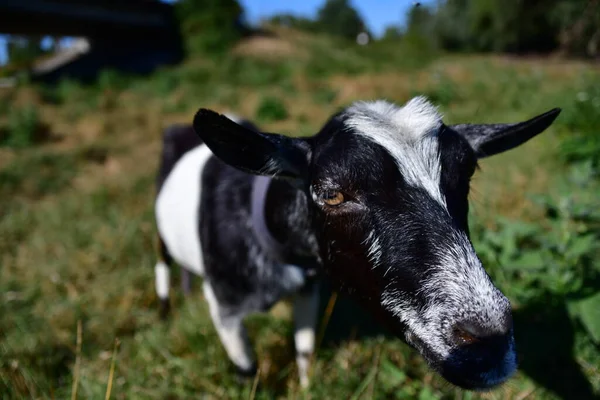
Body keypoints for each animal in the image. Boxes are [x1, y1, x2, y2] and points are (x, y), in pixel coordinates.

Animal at [154, 97, 556, 390]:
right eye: (332, 193)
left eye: (467, 173)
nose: (489, 344)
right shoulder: (224, 308)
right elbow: (247, 368)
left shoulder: (309, 289)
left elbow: (304, 350)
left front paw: (307, 388)